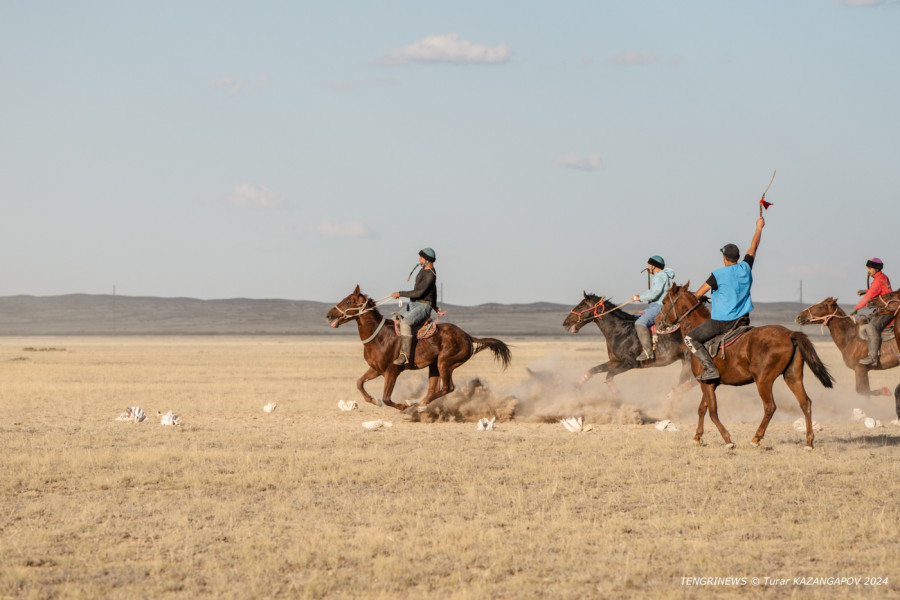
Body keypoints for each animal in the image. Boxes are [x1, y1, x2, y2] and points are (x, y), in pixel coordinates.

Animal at [326, 288, 510, 410]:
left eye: (348, 301)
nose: (329, 315)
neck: (379, 337)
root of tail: (467, 336)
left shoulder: (392, 371)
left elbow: (387, 398)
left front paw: (401, 406)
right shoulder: (376, 369)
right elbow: (359, 383)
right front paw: (373, 400)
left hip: (445, 363)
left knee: (447, 388)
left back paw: (419, 405)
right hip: (434, 366)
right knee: (433, 388)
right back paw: (417, 402)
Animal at [560, 294, 692, 396]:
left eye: (581, 306)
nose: (565, 323)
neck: (620, 331)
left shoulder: (630, 363)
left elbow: (609, 376)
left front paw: (618, 399)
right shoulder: (614, 361)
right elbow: (593, 370)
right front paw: (575, 387)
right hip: (685, 361)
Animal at [656, 284, 832, 448]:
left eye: (664, 302)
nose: (658, 322)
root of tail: (790, 334)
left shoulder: (706, 384)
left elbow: (712, 412)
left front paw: (727, 439)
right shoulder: (708, 383)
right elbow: (702, 409)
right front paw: (697, 437)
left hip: (763, 381)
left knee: (770, 407)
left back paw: (756, 438)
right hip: (792, 377)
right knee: (805, 403)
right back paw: (809, 442)